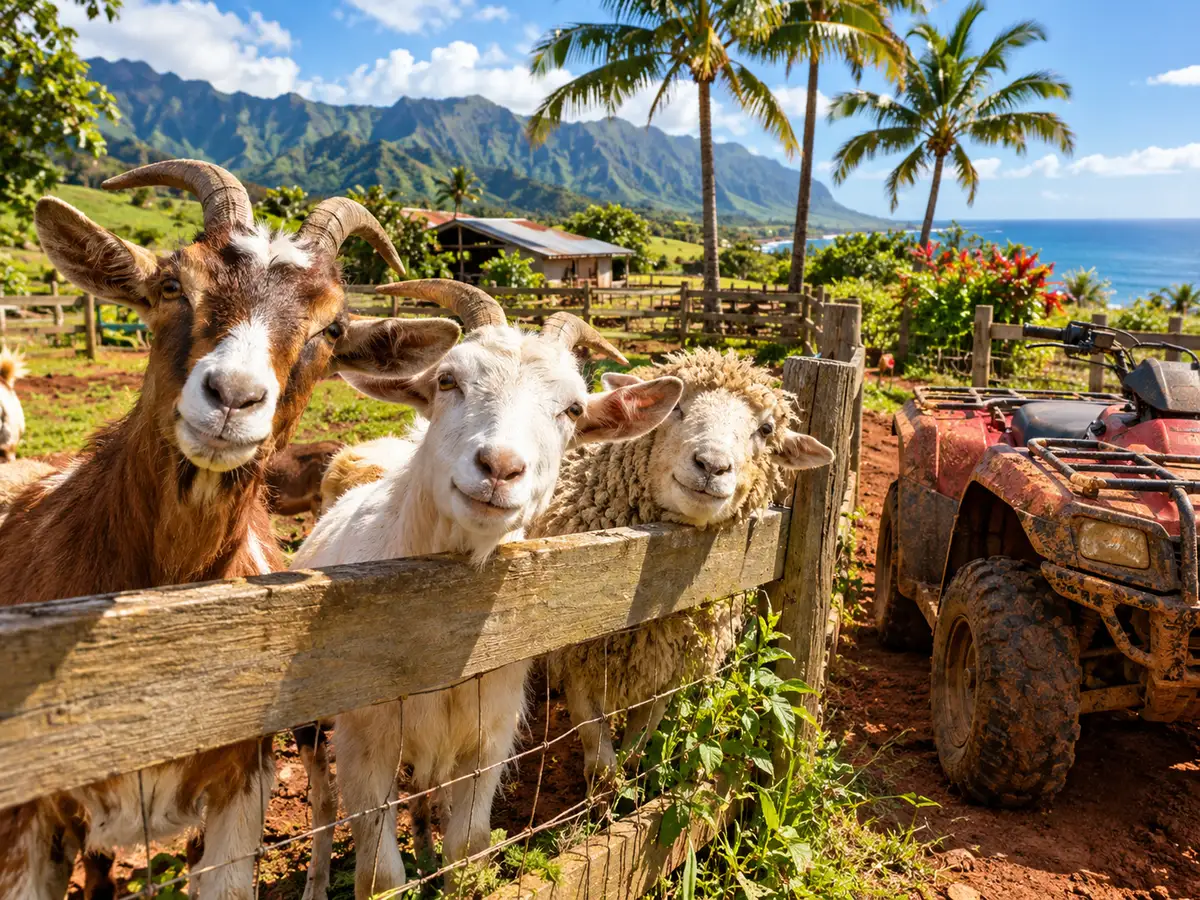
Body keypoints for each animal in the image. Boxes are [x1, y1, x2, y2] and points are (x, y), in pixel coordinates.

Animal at [292, 280, 683, 900]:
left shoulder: (488, 740)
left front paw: (443, 862)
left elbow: (468, 847)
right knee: (322, 801)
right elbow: (379, 874)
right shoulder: (364, 742)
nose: (500, 467)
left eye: (573, 409)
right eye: (447, 380)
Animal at [528, 348, 834, 787]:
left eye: (766, 429)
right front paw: (601, 797)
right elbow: (600, 758)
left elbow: (639, 743)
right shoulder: (579, 659)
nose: (712, 465)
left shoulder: (670, 671)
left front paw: (629, 783)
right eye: (676, 408)